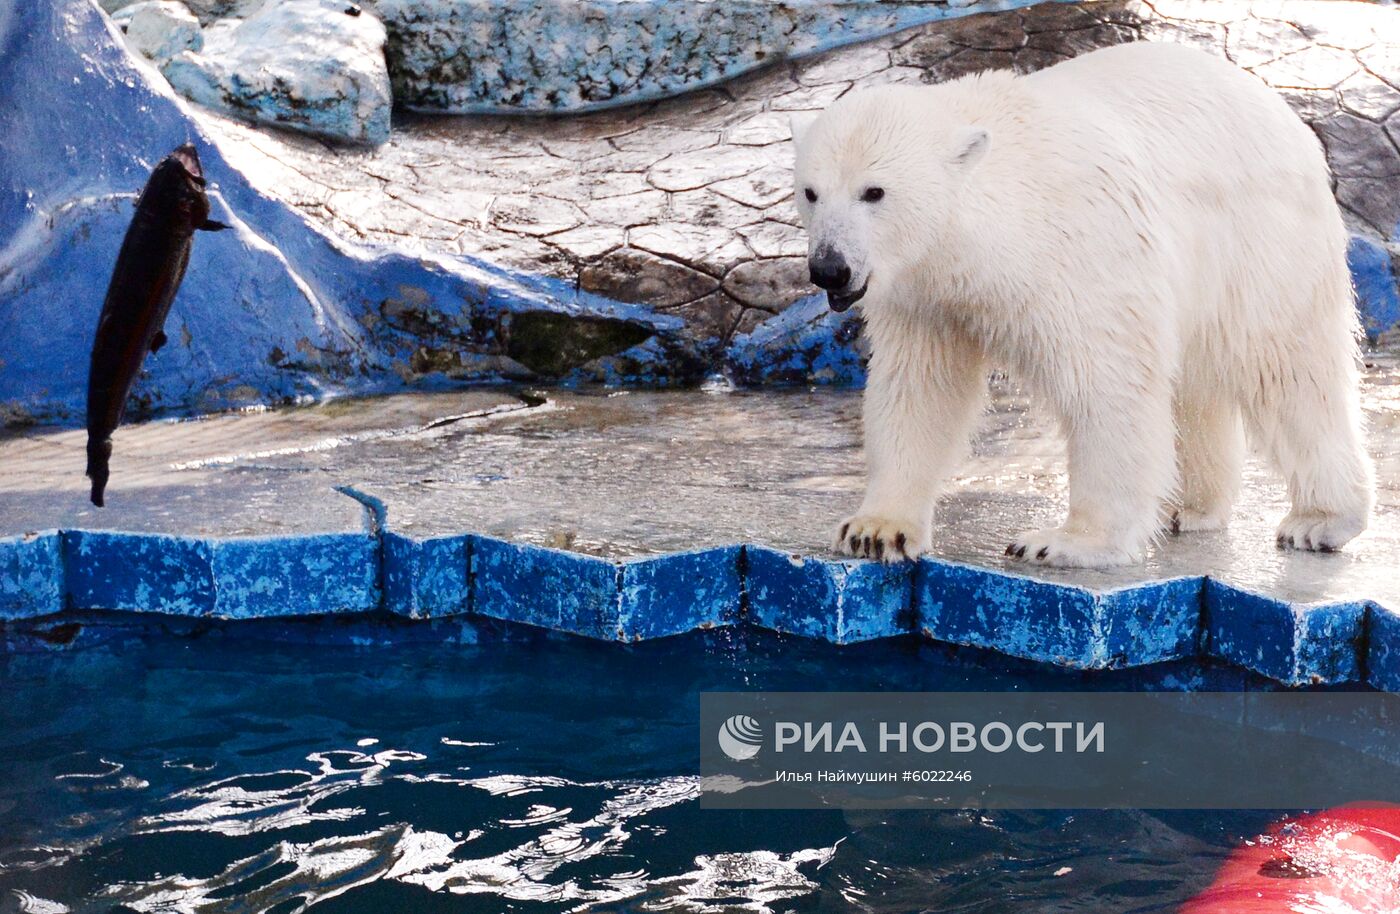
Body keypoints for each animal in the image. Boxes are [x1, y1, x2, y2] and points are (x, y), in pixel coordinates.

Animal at [795, 44, 1372, 571]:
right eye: (811, 192)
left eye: (874, 191)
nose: (829, 268)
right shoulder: (927, 298)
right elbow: (919, 388)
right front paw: (876, 529)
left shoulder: (1080, 255)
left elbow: (1106, 381)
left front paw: (1065, 542)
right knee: (1199, 385)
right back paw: (1189, 507)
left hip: (1259, 241)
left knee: (1286, 369)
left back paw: (1319, 520)